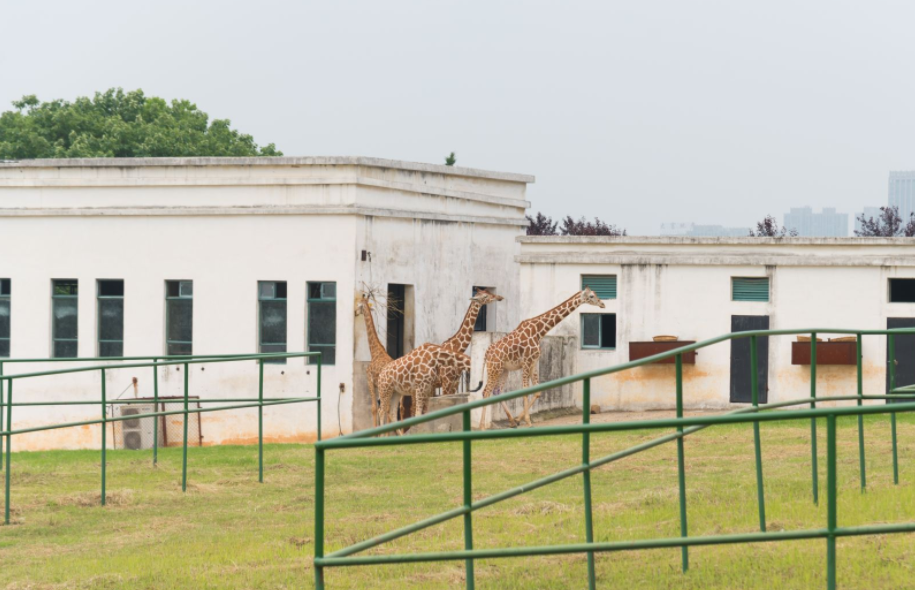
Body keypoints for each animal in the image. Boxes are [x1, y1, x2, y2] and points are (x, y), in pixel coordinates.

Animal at [480, 288, 608, 430]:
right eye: (591, 296)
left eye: (595, 294)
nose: (603, 304)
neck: (539, 331)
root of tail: (486, 354)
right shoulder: (526, 361)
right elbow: (525, 390)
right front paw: (528, 421)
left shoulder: (534, 362)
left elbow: (538, 392)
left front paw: (519, 419)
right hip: (494, 368)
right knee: (486, 391)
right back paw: (482, 427)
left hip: (504, 370)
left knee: (496, 391)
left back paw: (511, 421)